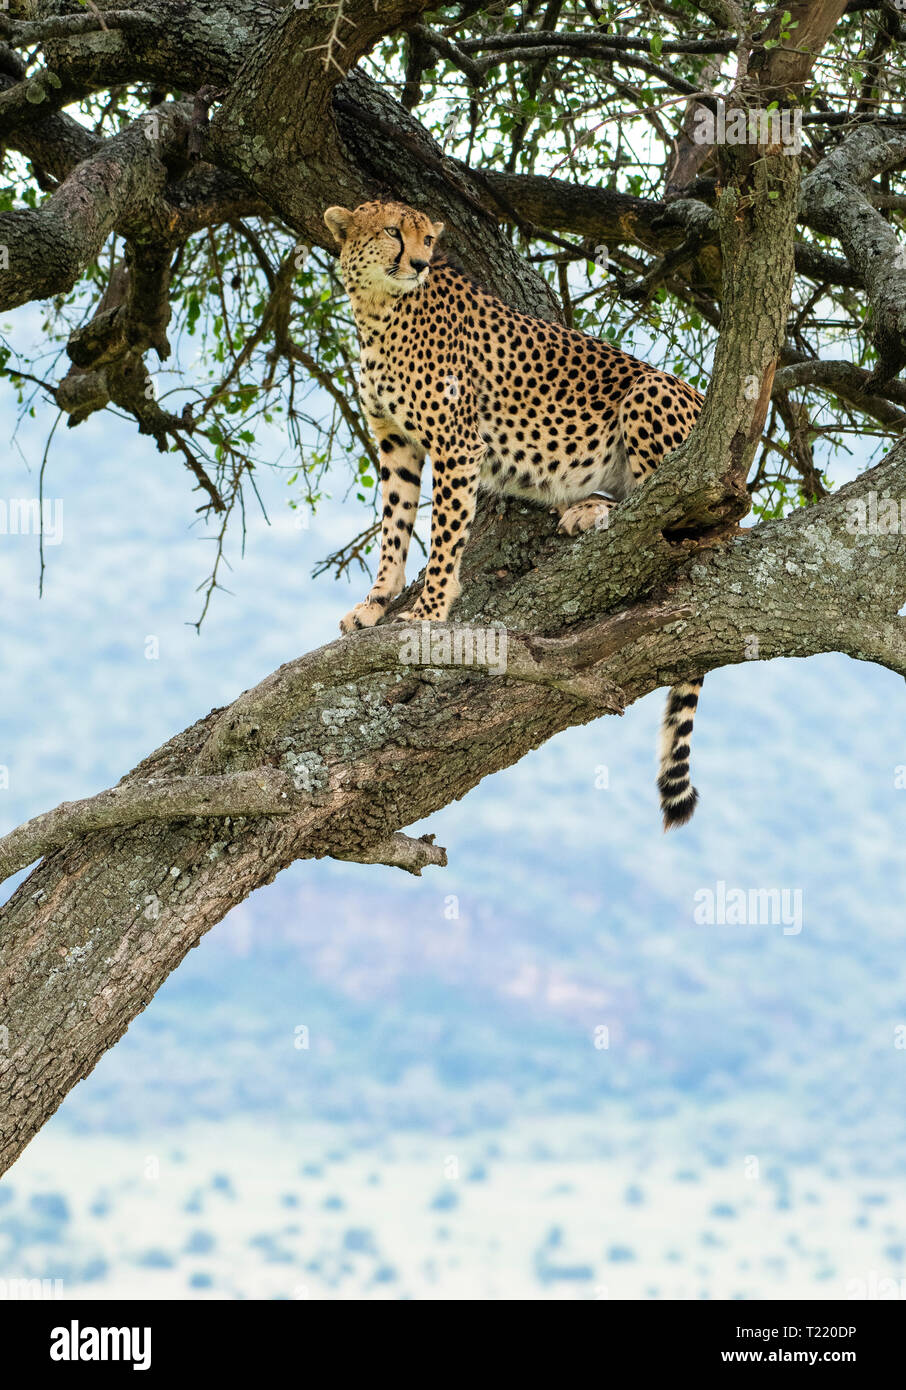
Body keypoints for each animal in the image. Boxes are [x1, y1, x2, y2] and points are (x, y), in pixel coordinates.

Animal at [325, 202, 708, 828]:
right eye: (392, 232)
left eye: (427, 239)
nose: (419, 263)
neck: (380, 308)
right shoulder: (396, 442)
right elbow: (394, 526)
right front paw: (377, 602)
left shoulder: (457, 444)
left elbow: (445, 535)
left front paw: (428, 613)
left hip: (647, 392)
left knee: (675, 502)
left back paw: (596, 515)